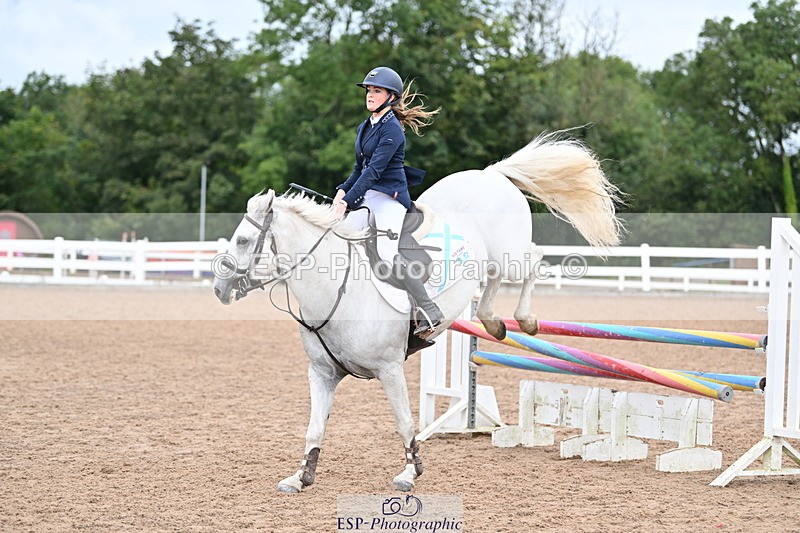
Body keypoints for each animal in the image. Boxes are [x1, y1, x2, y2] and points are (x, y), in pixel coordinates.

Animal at [212, 131, 623, 493]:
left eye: (244, 241)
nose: (219, 288)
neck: (336, 291)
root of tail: (490, 174)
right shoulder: (323, 374)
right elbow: (315, 427)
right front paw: (300, 477)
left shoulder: (390, 369)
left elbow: (405, 422)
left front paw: (410, 472)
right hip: (491, 261)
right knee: (491, 281)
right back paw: (492, 321)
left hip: (512, 254)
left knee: (534, 261)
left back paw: (525, 319)